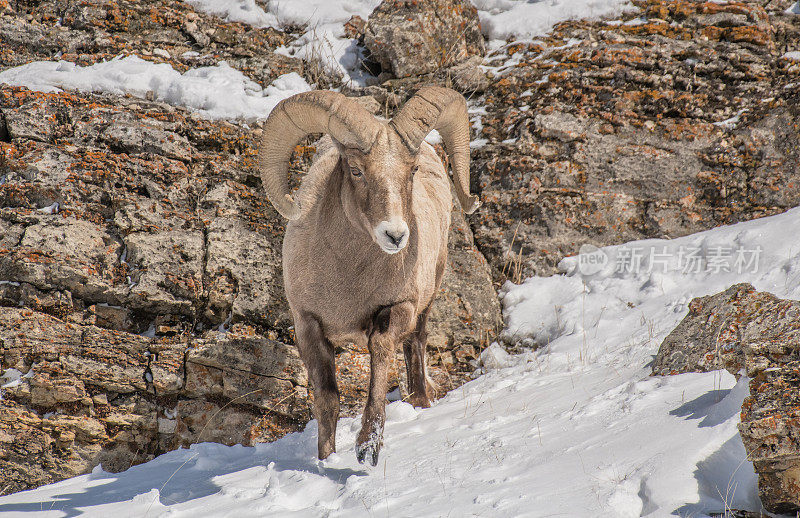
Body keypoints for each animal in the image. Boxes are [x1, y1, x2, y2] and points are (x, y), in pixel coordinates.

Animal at [260, 85, 478, 468]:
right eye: (356, 170)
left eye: (412, 169)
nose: (395, 235)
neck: (349, 280)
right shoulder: (308, 324)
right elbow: (327, 399)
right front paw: (327, 458)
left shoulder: (398, 308)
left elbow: (380, 355)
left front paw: (368, 446)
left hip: (428, 297)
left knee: (416, 344)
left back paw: (420, 403)